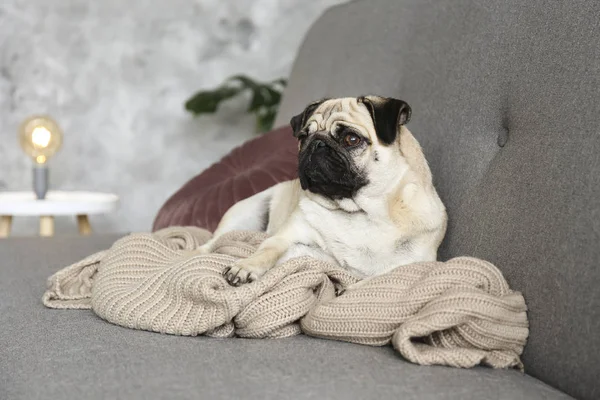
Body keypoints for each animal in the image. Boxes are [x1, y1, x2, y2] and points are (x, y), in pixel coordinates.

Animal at [199, 95, 448, 286]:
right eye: (303, 137)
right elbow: (267, 250)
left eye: (351, 139)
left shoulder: (402, 267)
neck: (358, 211)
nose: (316, 143)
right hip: (245, 214)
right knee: (208, 246)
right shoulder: (287, 238)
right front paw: (245, 266)